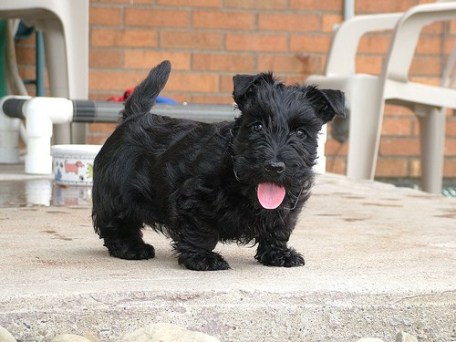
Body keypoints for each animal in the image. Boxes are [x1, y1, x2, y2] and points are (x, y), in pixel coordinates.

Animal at [91, 60, 342, 272]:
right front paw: (203, 258)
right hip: (116, 197)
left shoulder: (286, 205)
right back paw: (132, 248)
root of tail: (132, 118)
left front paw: (278, 254)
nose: (274, 166)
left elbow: (278, 227)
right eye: (257, 126)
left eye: (301, 132)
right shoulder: (194, 198)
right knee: (116, 225)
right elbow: (199, 231)